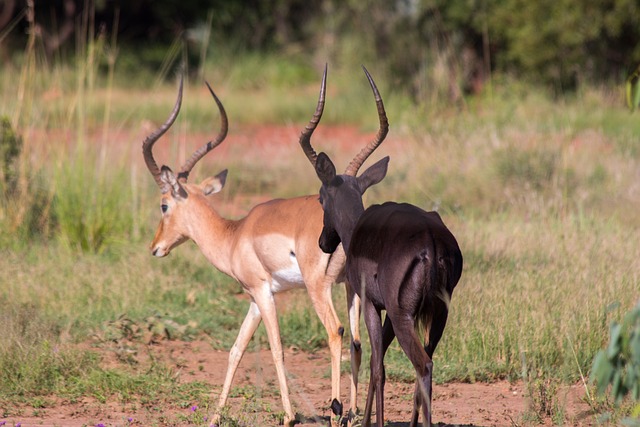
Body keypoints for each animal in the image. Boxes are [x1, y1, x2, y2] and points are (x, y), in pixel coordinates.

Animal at [141, 72, 360, 426]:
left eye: (163, 205)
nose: (155, 247)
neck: (234, 235)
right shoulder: (254, 300)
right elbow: (236, 349)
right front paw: (214, 418)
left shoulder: (263, 292)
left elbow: (276, 348)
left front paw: (289, 417)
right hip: (351, 286)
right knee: (357, 340)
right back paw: (353, 414)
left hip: (320, 287)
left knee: (336, 331)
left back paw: (337, 411)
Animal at [302, 65, 462, 426]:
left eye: (320, 198)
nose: (323, 242)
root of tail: (431, 242)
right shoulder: (389, 311)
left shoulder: (373, 304)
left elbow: (376, 365)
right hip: (438, 314)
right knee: (426, 365)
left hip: (405, 316)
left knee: (423, 364)